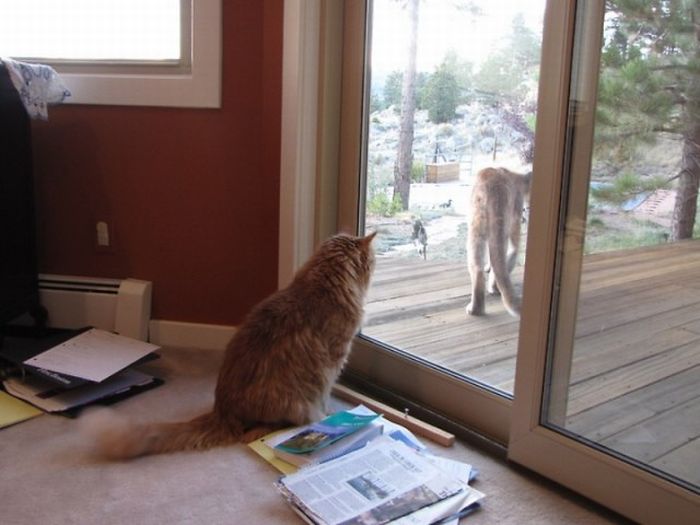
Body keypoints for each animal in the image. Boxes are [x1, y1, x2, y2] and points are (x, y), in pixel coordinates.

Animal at [87, 233, 378, 458]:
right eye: (373, 261)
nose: (375, 264)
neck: (323, 282)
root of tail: (222, 413)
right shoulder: (334, 360)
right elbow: (327, 392)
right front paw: (330, 413)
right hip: (295, 400)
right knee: (255, 432)